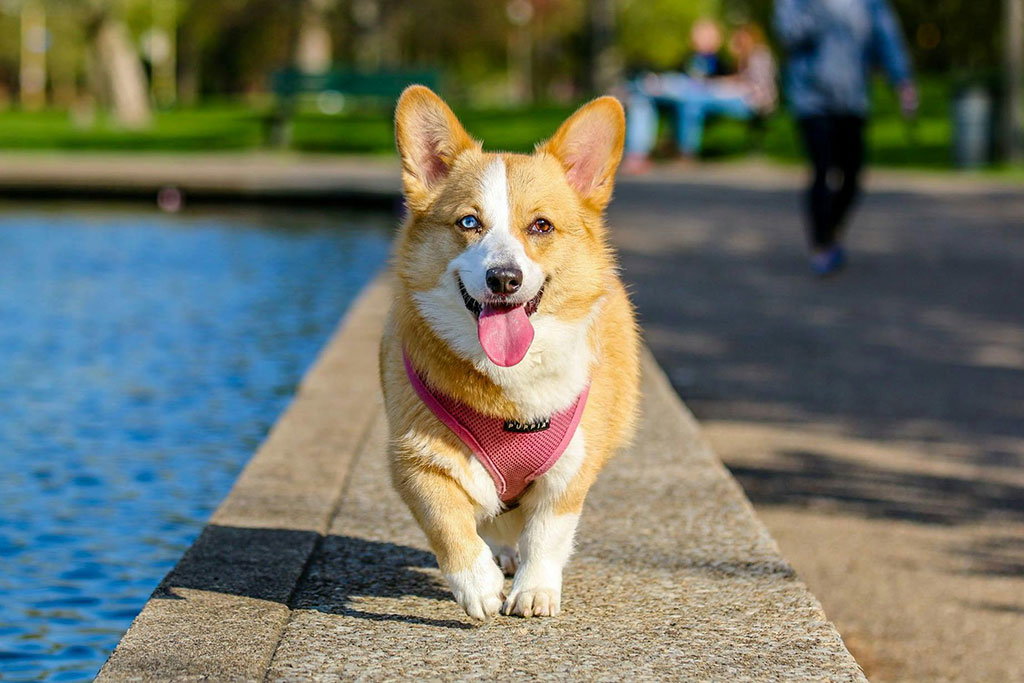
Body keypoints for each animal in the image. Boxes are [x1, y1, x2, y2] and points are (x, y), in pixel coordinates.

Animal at [382, 85, 638, 618]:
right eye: (469, 222)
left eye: (541, 226)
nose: (504, 278)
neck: (510, 386)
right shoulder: (414, 459)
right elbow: (448, 522)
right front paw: (477, 585)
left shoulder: (571, 470)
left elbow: (547, 533)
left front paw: (535, 590)